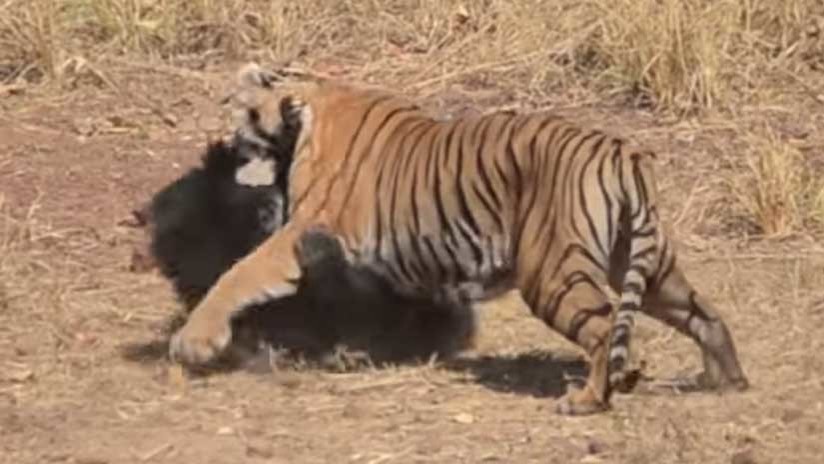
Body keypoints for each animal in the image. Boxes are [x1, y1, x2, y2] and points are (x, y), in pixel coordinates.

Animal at [169, 63, 749, 415]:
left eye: (245, 109)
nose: (225, 141)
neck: (307, 111)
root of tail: (622, 150)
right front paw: (364, 349)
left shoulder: (304, 230)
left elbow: (237, 274)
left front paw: (193, 341)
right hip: (646, 266)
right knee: (704, 314)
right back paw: (727, 380)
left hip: (554, 273)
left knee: (606, 329)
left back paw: (588, 399)